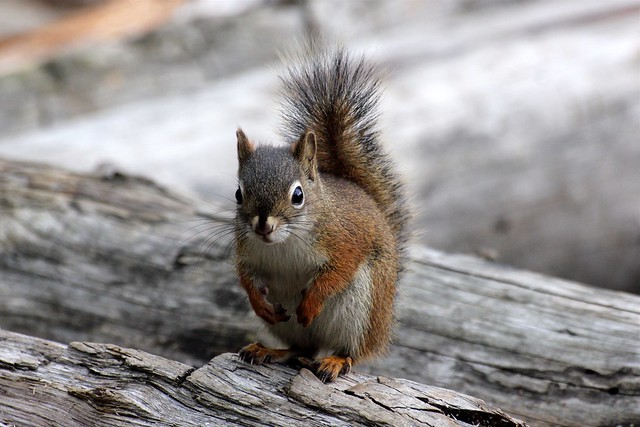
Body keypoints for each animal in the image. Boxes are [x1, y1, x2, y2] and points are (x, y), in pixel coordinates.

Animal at [233, 47, 408, 382]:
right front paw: (259, 304)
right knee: (301, 348)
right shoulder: (246, 252)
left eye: (298, 195)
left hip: (362, 311)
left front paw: (311, 304)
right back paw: (270, 350)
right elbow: (246, 277)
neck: (284, 244)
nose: (263, 226)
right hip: (289, 326)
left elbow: (337, 272)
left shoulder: (346, 241)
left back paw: (336, 361)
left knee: (353, 351)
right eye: (238, 193)